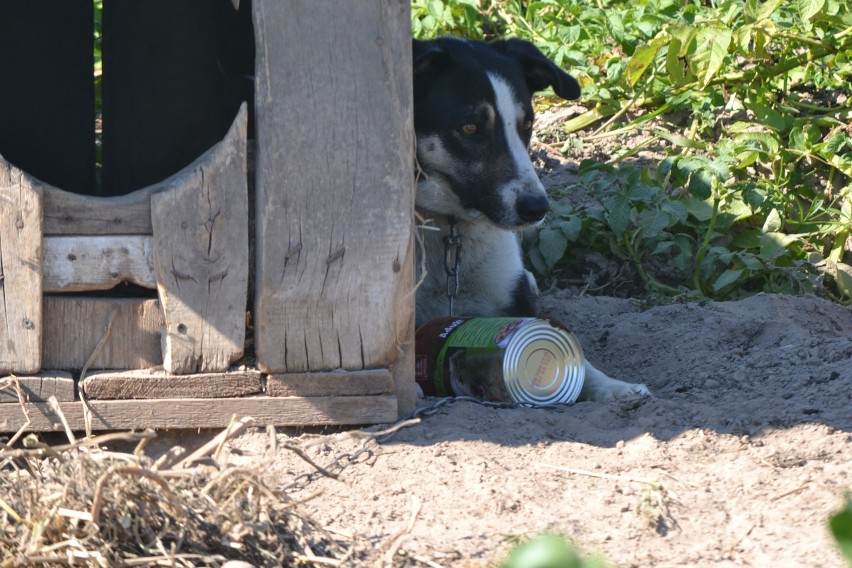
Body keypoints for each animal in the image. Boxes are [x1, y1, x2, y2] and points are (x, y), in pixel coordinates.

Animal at [416, 37, 648, 402]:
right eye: (469, 127)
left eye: (527, 124)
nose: (537, 208)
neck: (448, 229)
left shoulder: (515, 299)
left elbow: (575, 356)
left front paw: (613, 387)